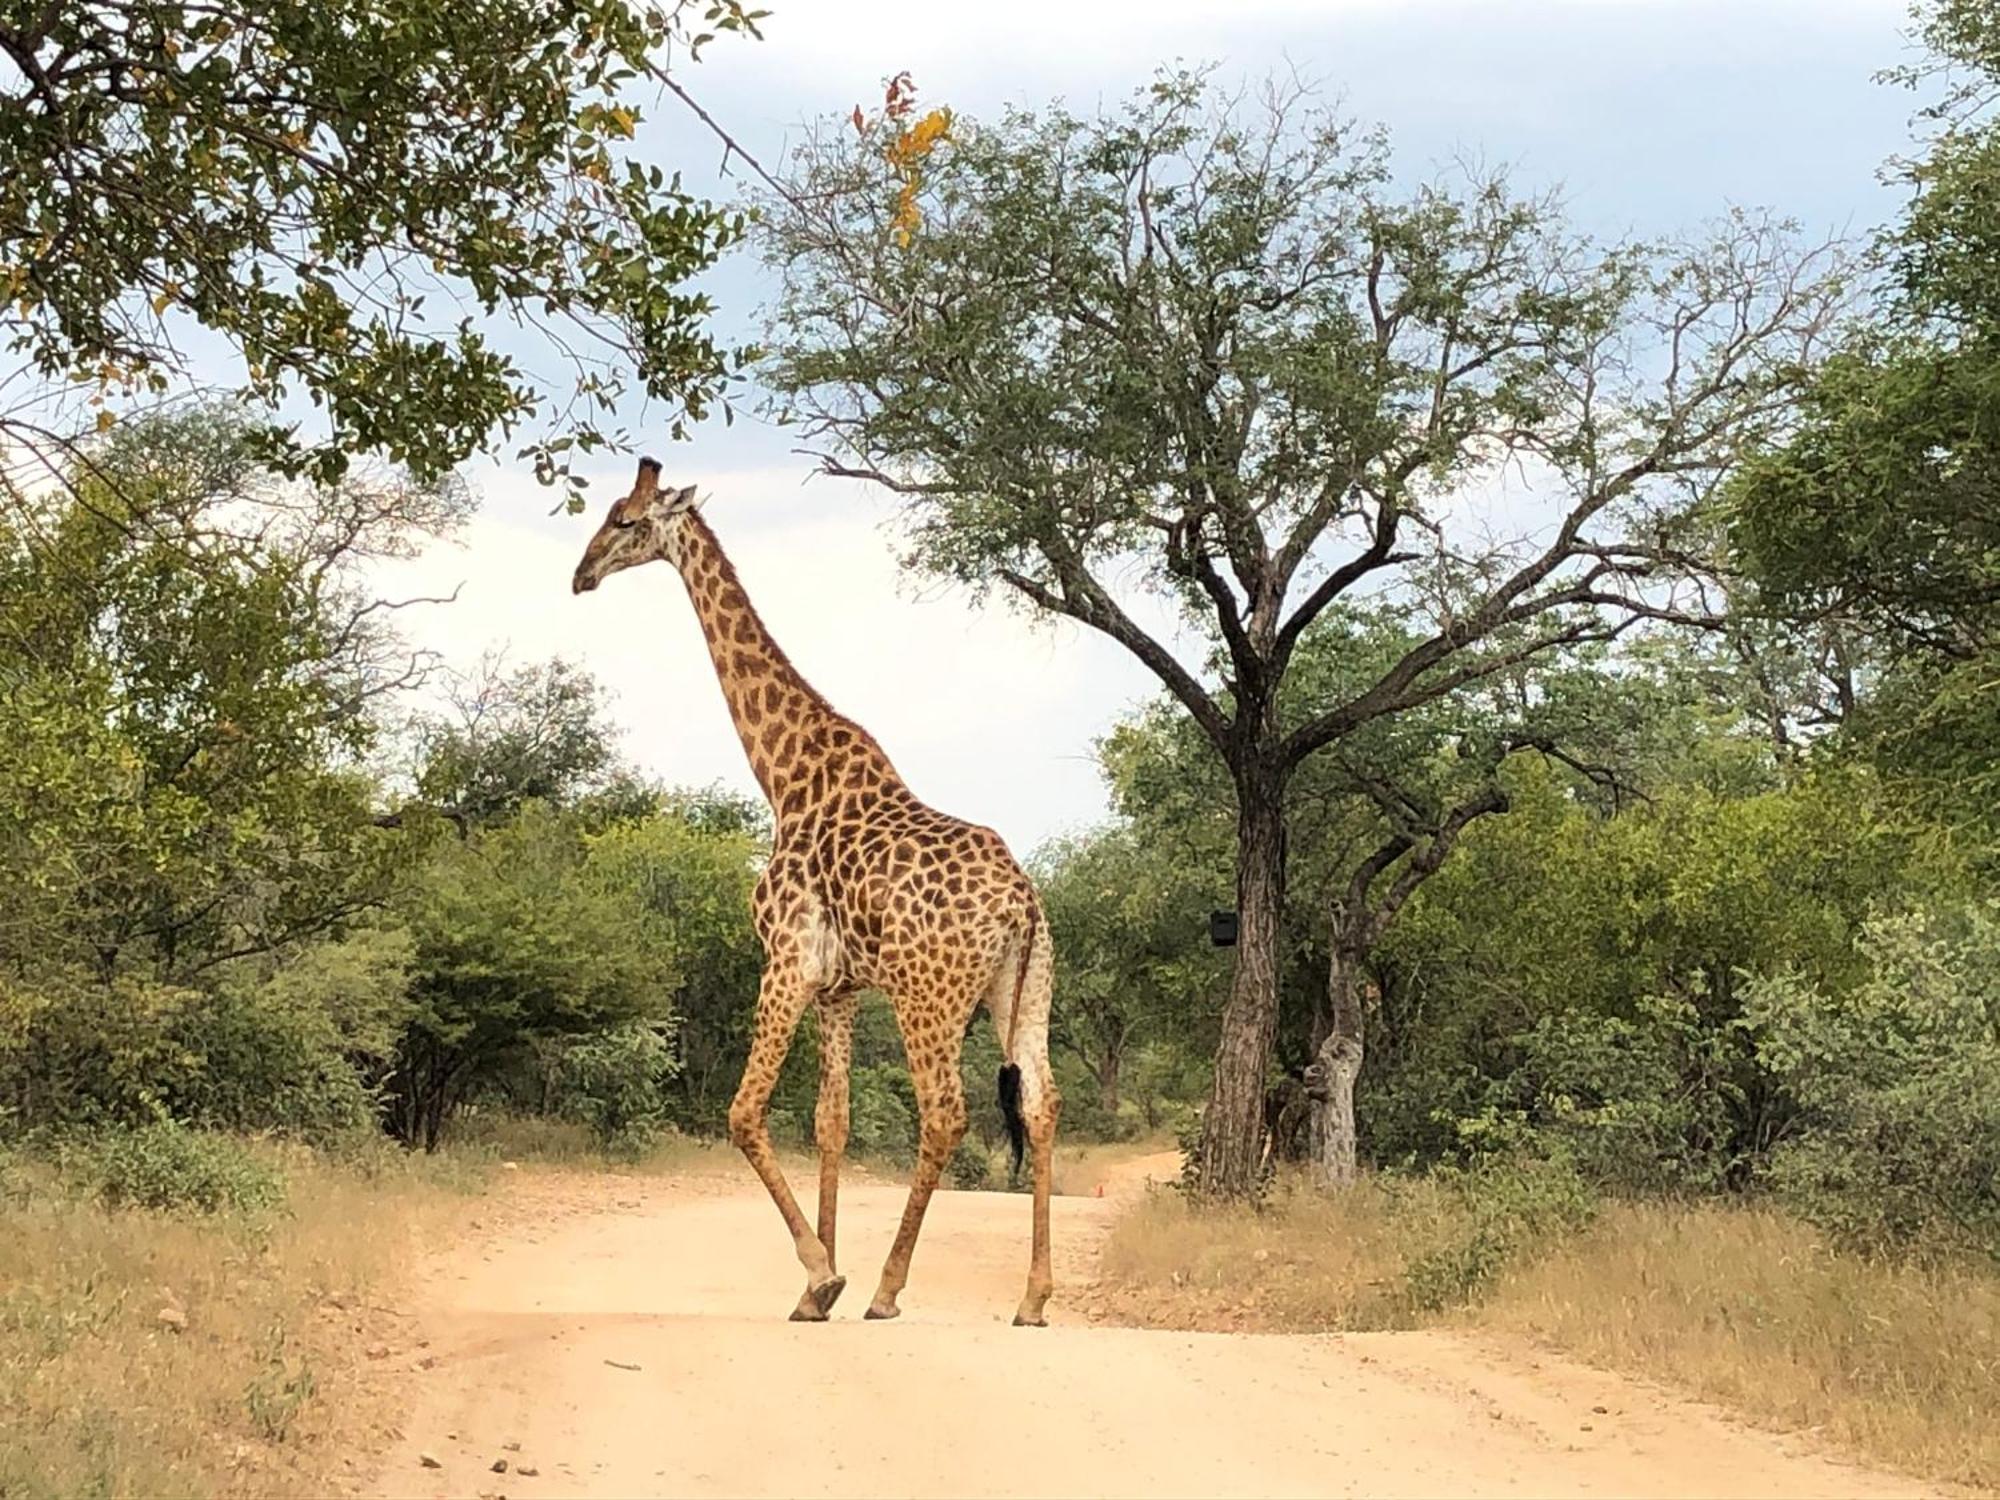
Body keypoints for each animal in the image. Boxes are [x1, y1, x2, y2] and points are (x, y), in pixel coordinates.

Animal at [572, 458, 1064, 1328]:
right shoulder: (839, 987)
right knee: (1039, 1103)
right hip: (1024, 987)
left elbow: (743, 1112)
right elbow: (830, 1121)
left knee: (945, 1112)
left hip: (929, 996)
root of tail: (1022, 904)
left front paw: (823, 1275)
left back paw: (889, 1289)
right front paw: (816, 1286)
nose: (580, 574)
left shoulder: (787, 959)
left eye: (626, 520)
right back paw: (1033, 1298)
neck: (784, 774)